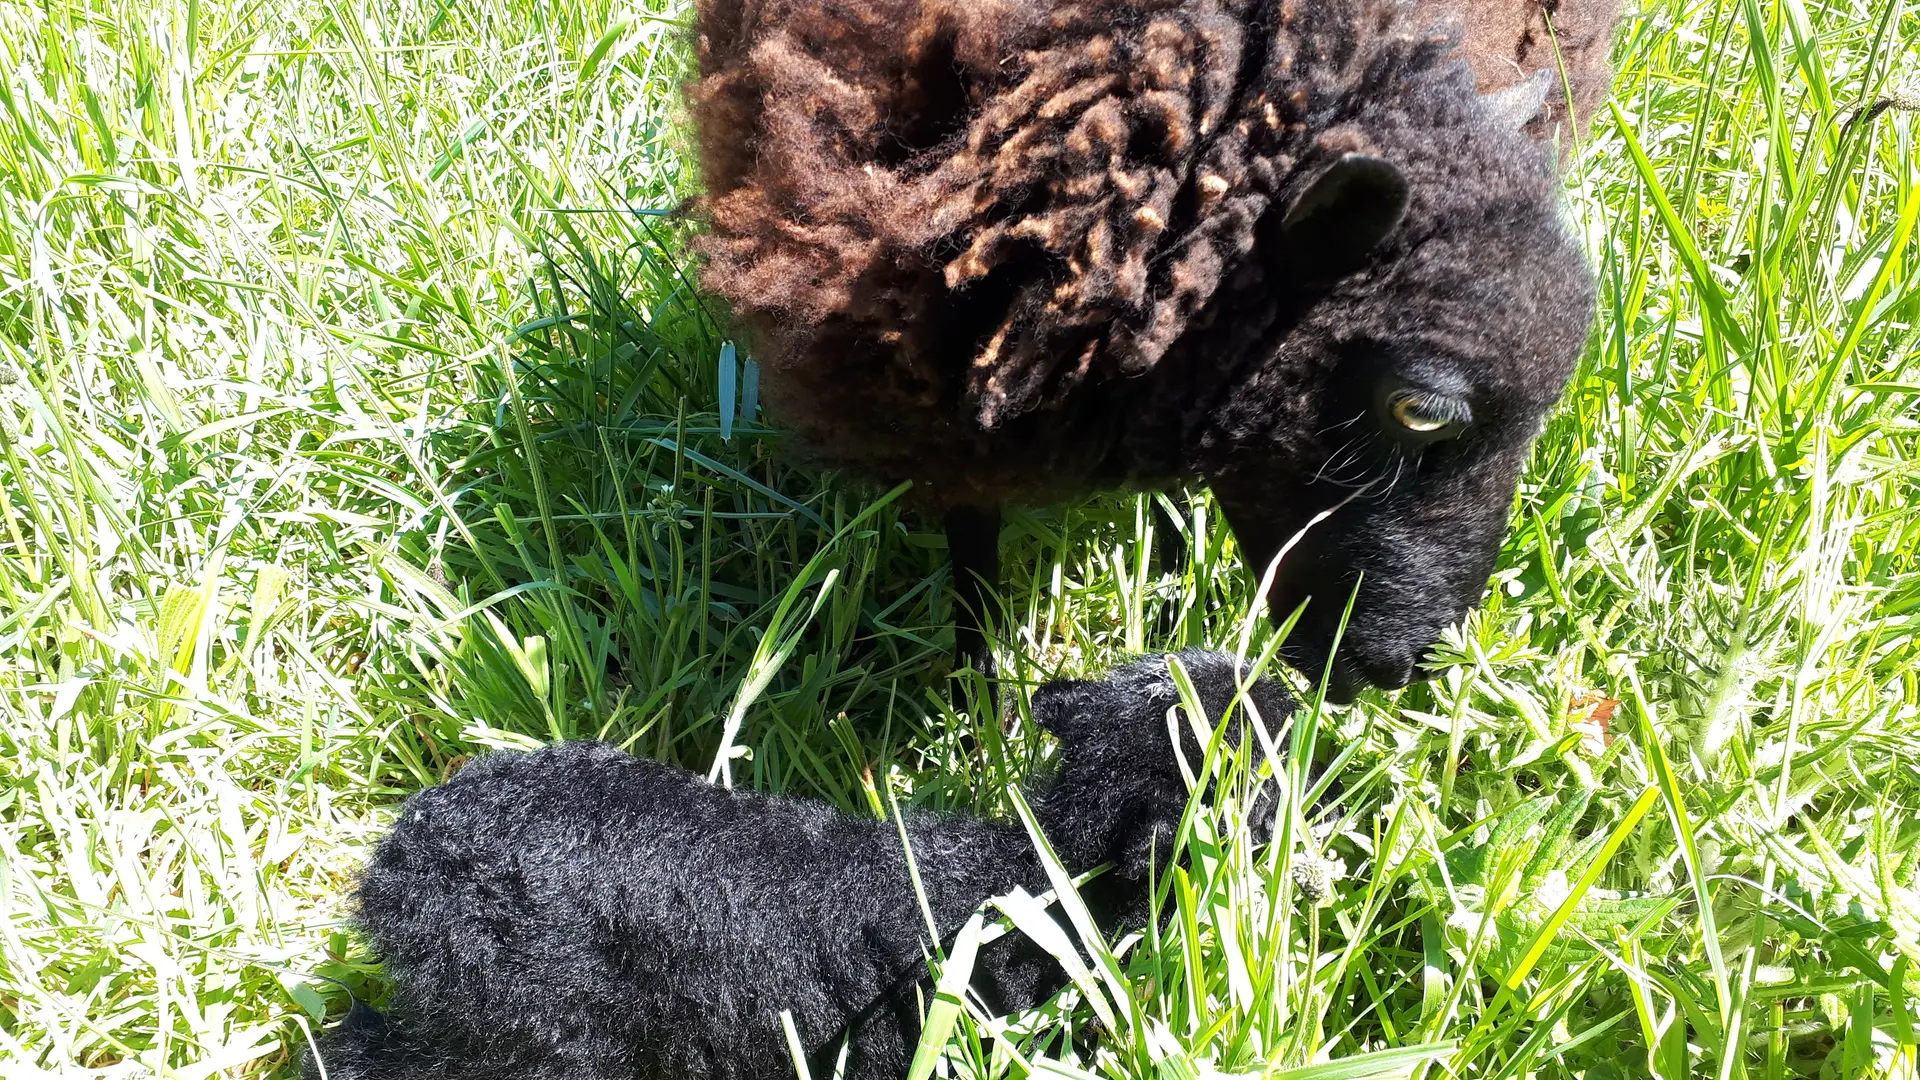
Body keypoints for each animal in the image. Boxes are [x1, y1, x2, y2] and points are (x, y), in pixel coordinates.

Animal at [686, 0, 1611, 702]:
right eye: (1419, 410)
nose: (1410, 671)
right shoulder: (936, 380)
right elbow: (973, 547)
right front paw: (981, 707)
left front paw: (1166, 609)